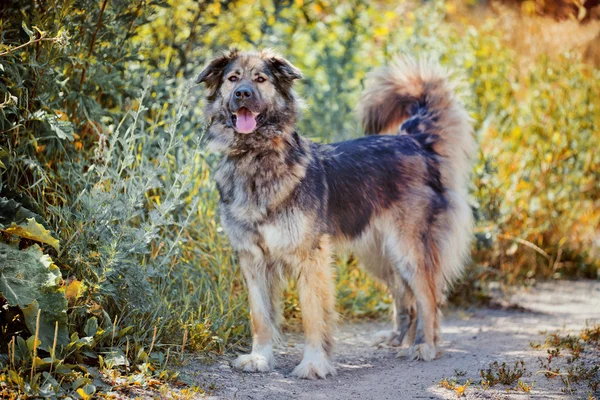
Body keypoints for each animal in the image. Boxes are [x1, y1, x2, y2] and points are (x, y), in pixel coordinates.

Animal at [199, 48, 476, 380]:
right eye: (232, 78)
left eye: (260, 79)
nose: (243, 94)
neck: (255, 160)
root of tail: (414, 141)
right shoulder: (252, 259)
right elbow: (260, 316)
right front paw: (260, 358)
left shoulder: (309, 256)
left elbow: (313, 315)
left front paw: (314, 363)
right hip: (379, 254)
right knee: (404, 296)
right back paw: (398, 338)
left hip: (407, 248)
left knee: (427, 296)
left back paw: (424, 345)